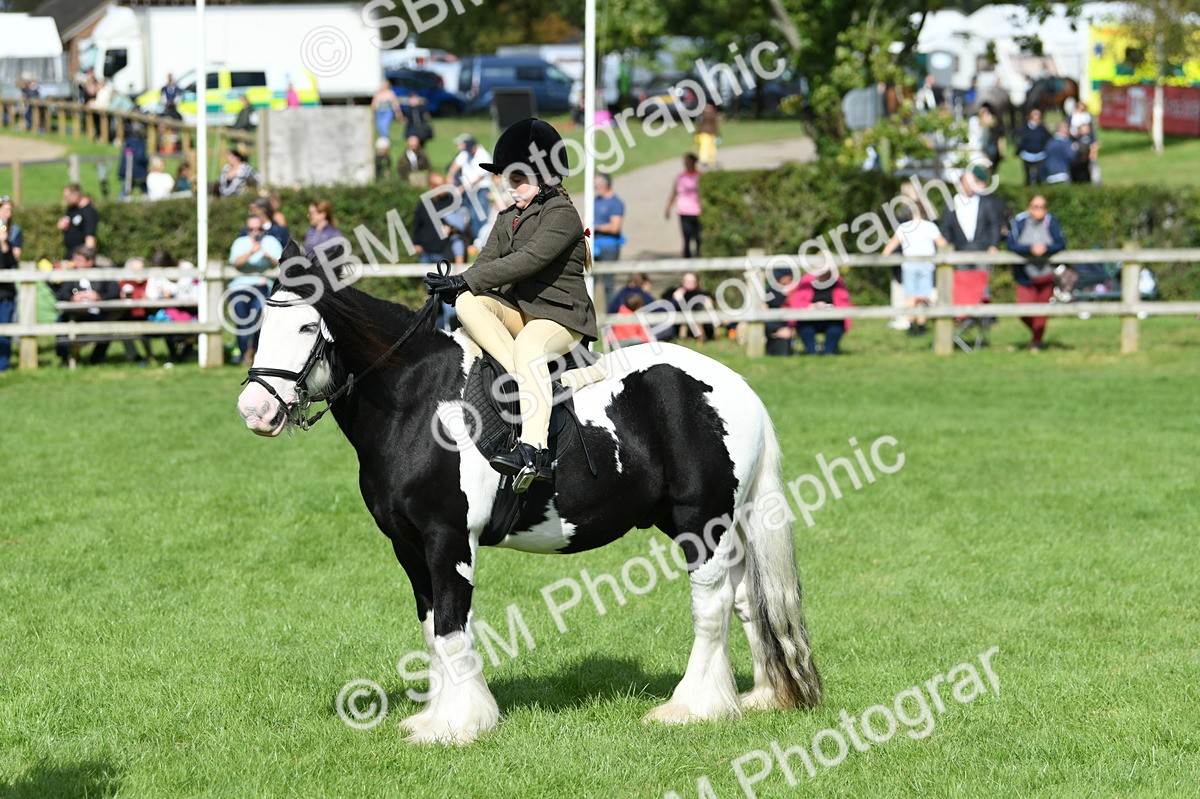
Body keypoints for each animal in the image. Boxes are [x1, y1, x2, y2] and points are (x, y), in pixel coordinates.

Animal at [235, 246, 823, 744]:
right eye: (262, 324)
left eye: (307, 325)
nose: (254, 410)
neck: (419, 401)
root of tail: (736, 387)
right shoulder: (408, 546)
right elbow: (431, 631)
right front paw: (434, 717)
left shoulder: (449, 540)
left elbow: (451, 628)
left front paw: (459, 725)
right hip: (719, 524)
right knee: (745, 599)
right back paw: (759, 698)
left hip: (701, 522)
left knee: (713, 603)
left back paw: (692, 707)